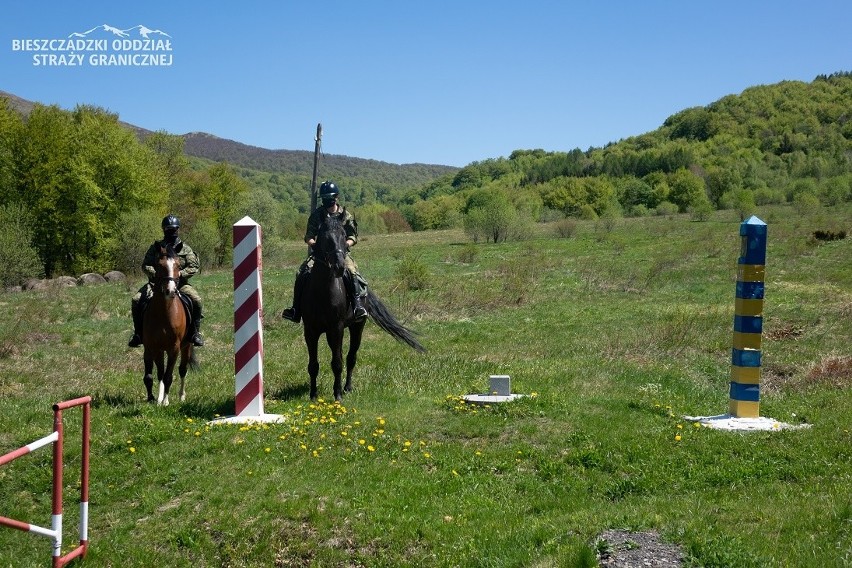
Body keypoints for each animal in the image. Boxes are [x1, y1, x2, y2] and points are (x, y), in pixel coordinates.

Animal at [142, 242, 197, 406]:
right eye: (159, 265)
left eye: (179, 265)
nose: (170, 291)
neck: (164, 313)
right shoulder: (155, 348)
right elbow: (159, 374)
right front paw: (159, 399)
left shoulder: (174, 348)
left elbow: (168, 375)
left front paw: (166, 401)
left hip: (186, 346)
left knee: (182, 370)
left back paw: (181, 396)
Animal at [300, 209, 426, 400]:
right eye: (325, 237)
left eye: (344, 235)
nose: (339, 266)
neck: (322, 291)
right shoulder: (310, 330)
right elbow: (313, 364)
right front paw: (313, 395)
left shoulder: (337, 328)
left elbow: (337, 363)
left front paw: (337, 395)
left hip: (357, 327)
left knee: (350, 357)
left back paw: (347, 387)